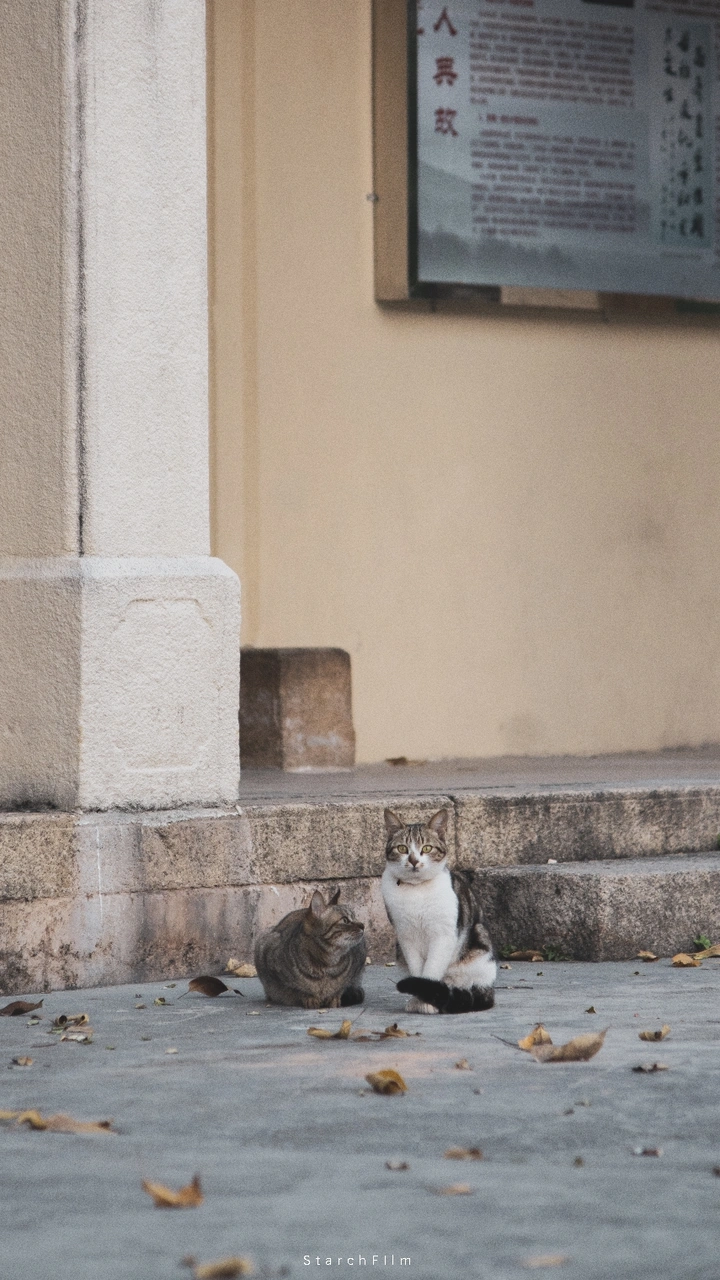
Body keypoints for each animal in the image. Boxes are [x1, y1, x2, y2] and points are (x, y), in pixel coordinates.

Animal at [381, 807, 496, 1014]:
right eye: (402, 848)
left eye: (427, 848)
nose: (413, 860)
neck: (416, 890)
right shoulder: (406, 937)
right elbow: (417, 970)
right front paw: (418, 999)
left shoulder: (443, 935)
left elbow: (431, 971)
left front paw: (426, 1001)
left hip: (477, 948)